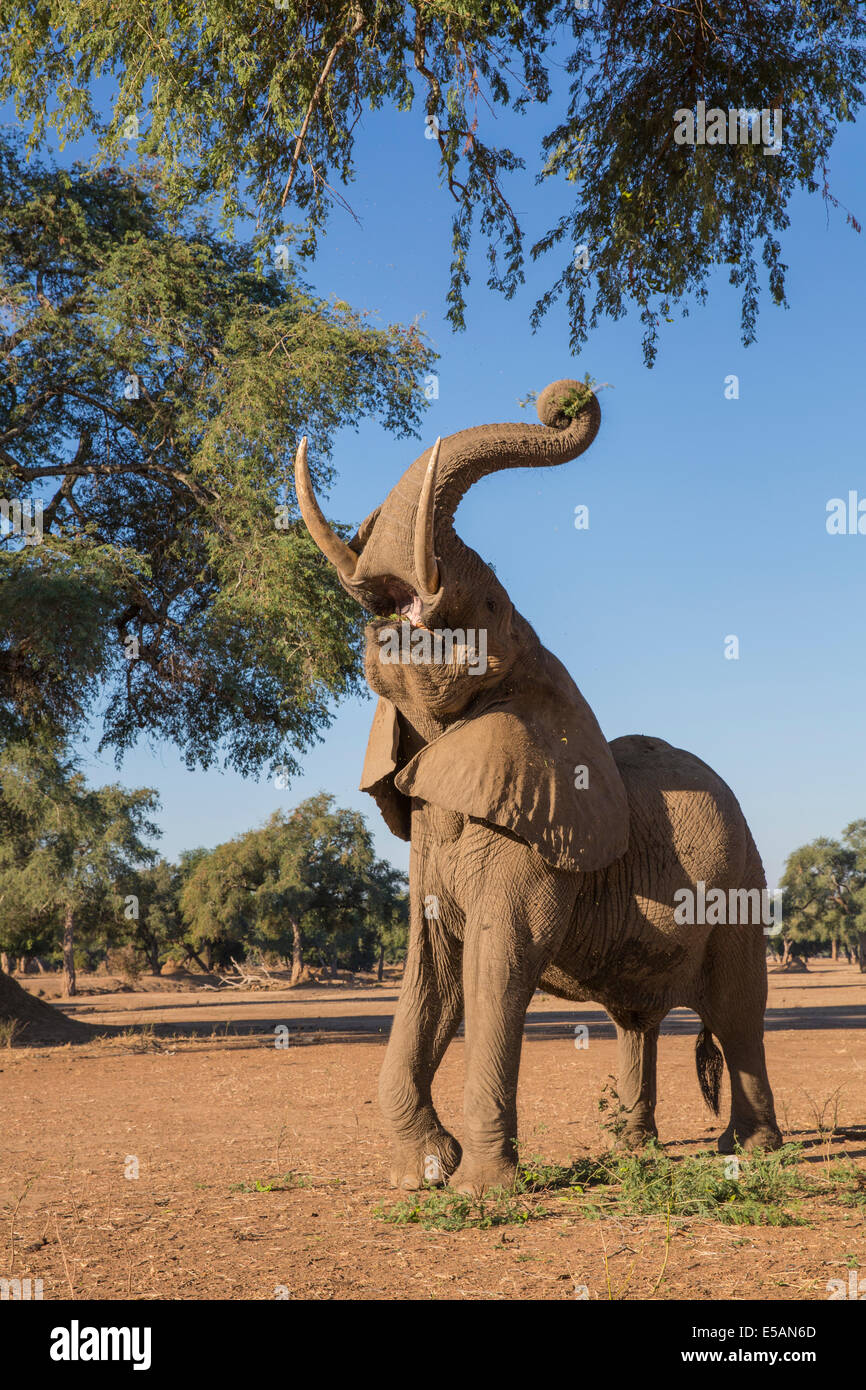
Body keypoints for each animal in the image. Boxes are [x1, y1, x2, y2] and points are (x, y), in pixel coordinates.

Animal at [294, 378, 783, 1195]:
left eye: (489, 605)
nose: (566, 399)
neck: (534, 669)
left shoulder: (534, 830)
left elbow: (498, 961)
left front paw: (480, 1189)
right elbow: (429, 973)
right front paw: (425, 1171)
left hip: (742, 887)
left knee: (738, 1015)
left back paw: (749, 1154)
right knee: (637, 1018)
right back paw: (631, 1152)